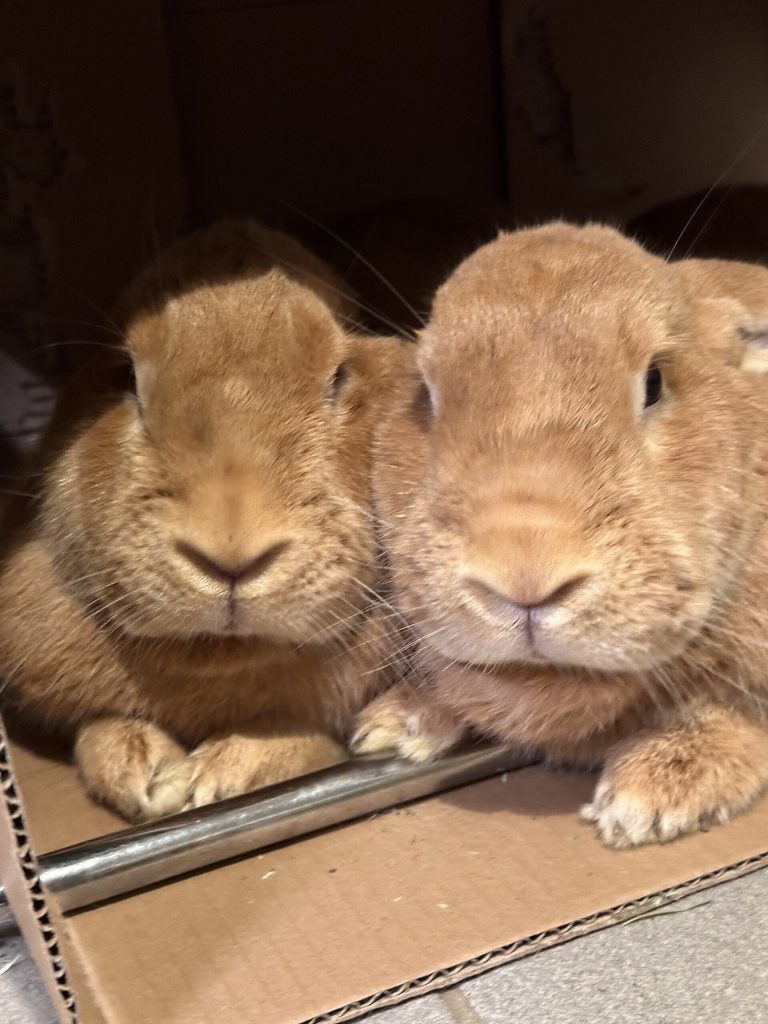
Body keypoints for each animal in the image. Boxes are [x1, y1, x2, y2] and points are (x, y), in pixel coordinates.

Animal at [0, 219, 410, 822]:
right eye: (126, 377)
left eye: (340, 375)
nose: (230, 557)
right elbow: (96, 732)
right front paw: (149, 778)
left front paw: (221, 777)